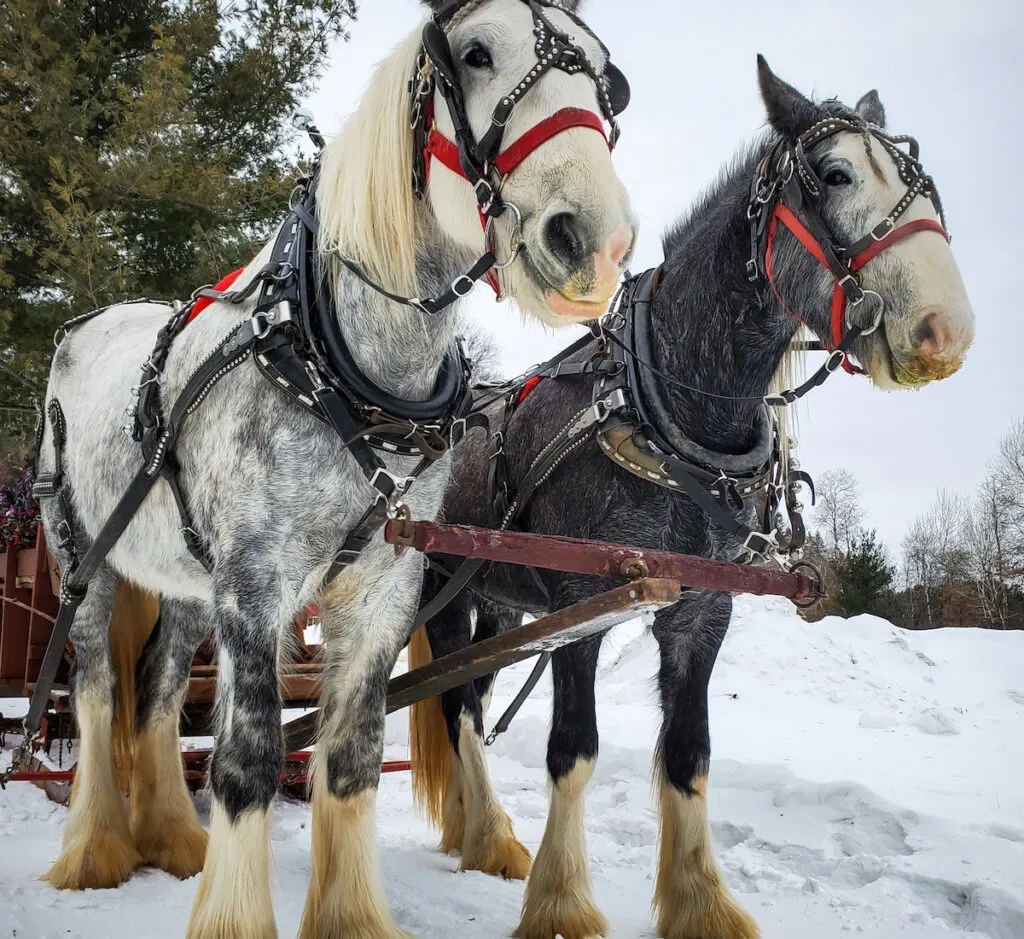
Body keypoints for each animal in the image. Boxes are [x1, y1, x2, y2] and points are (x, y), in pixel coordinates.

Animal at [409, 58, 974, 937]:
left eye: (926, 185)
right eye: (836, 174)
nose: (946, 328)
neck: (667, 409)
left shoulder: (703, 609)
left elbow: (689, 753)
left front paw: (701, 900)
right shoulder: (583, 601)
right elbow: (573, 747)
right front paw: (562, 900)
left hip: (500, 601)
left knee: (471, 692)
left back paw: (475, 829)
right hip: (445, 585)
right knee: (455, 707)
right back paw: (493, 834)